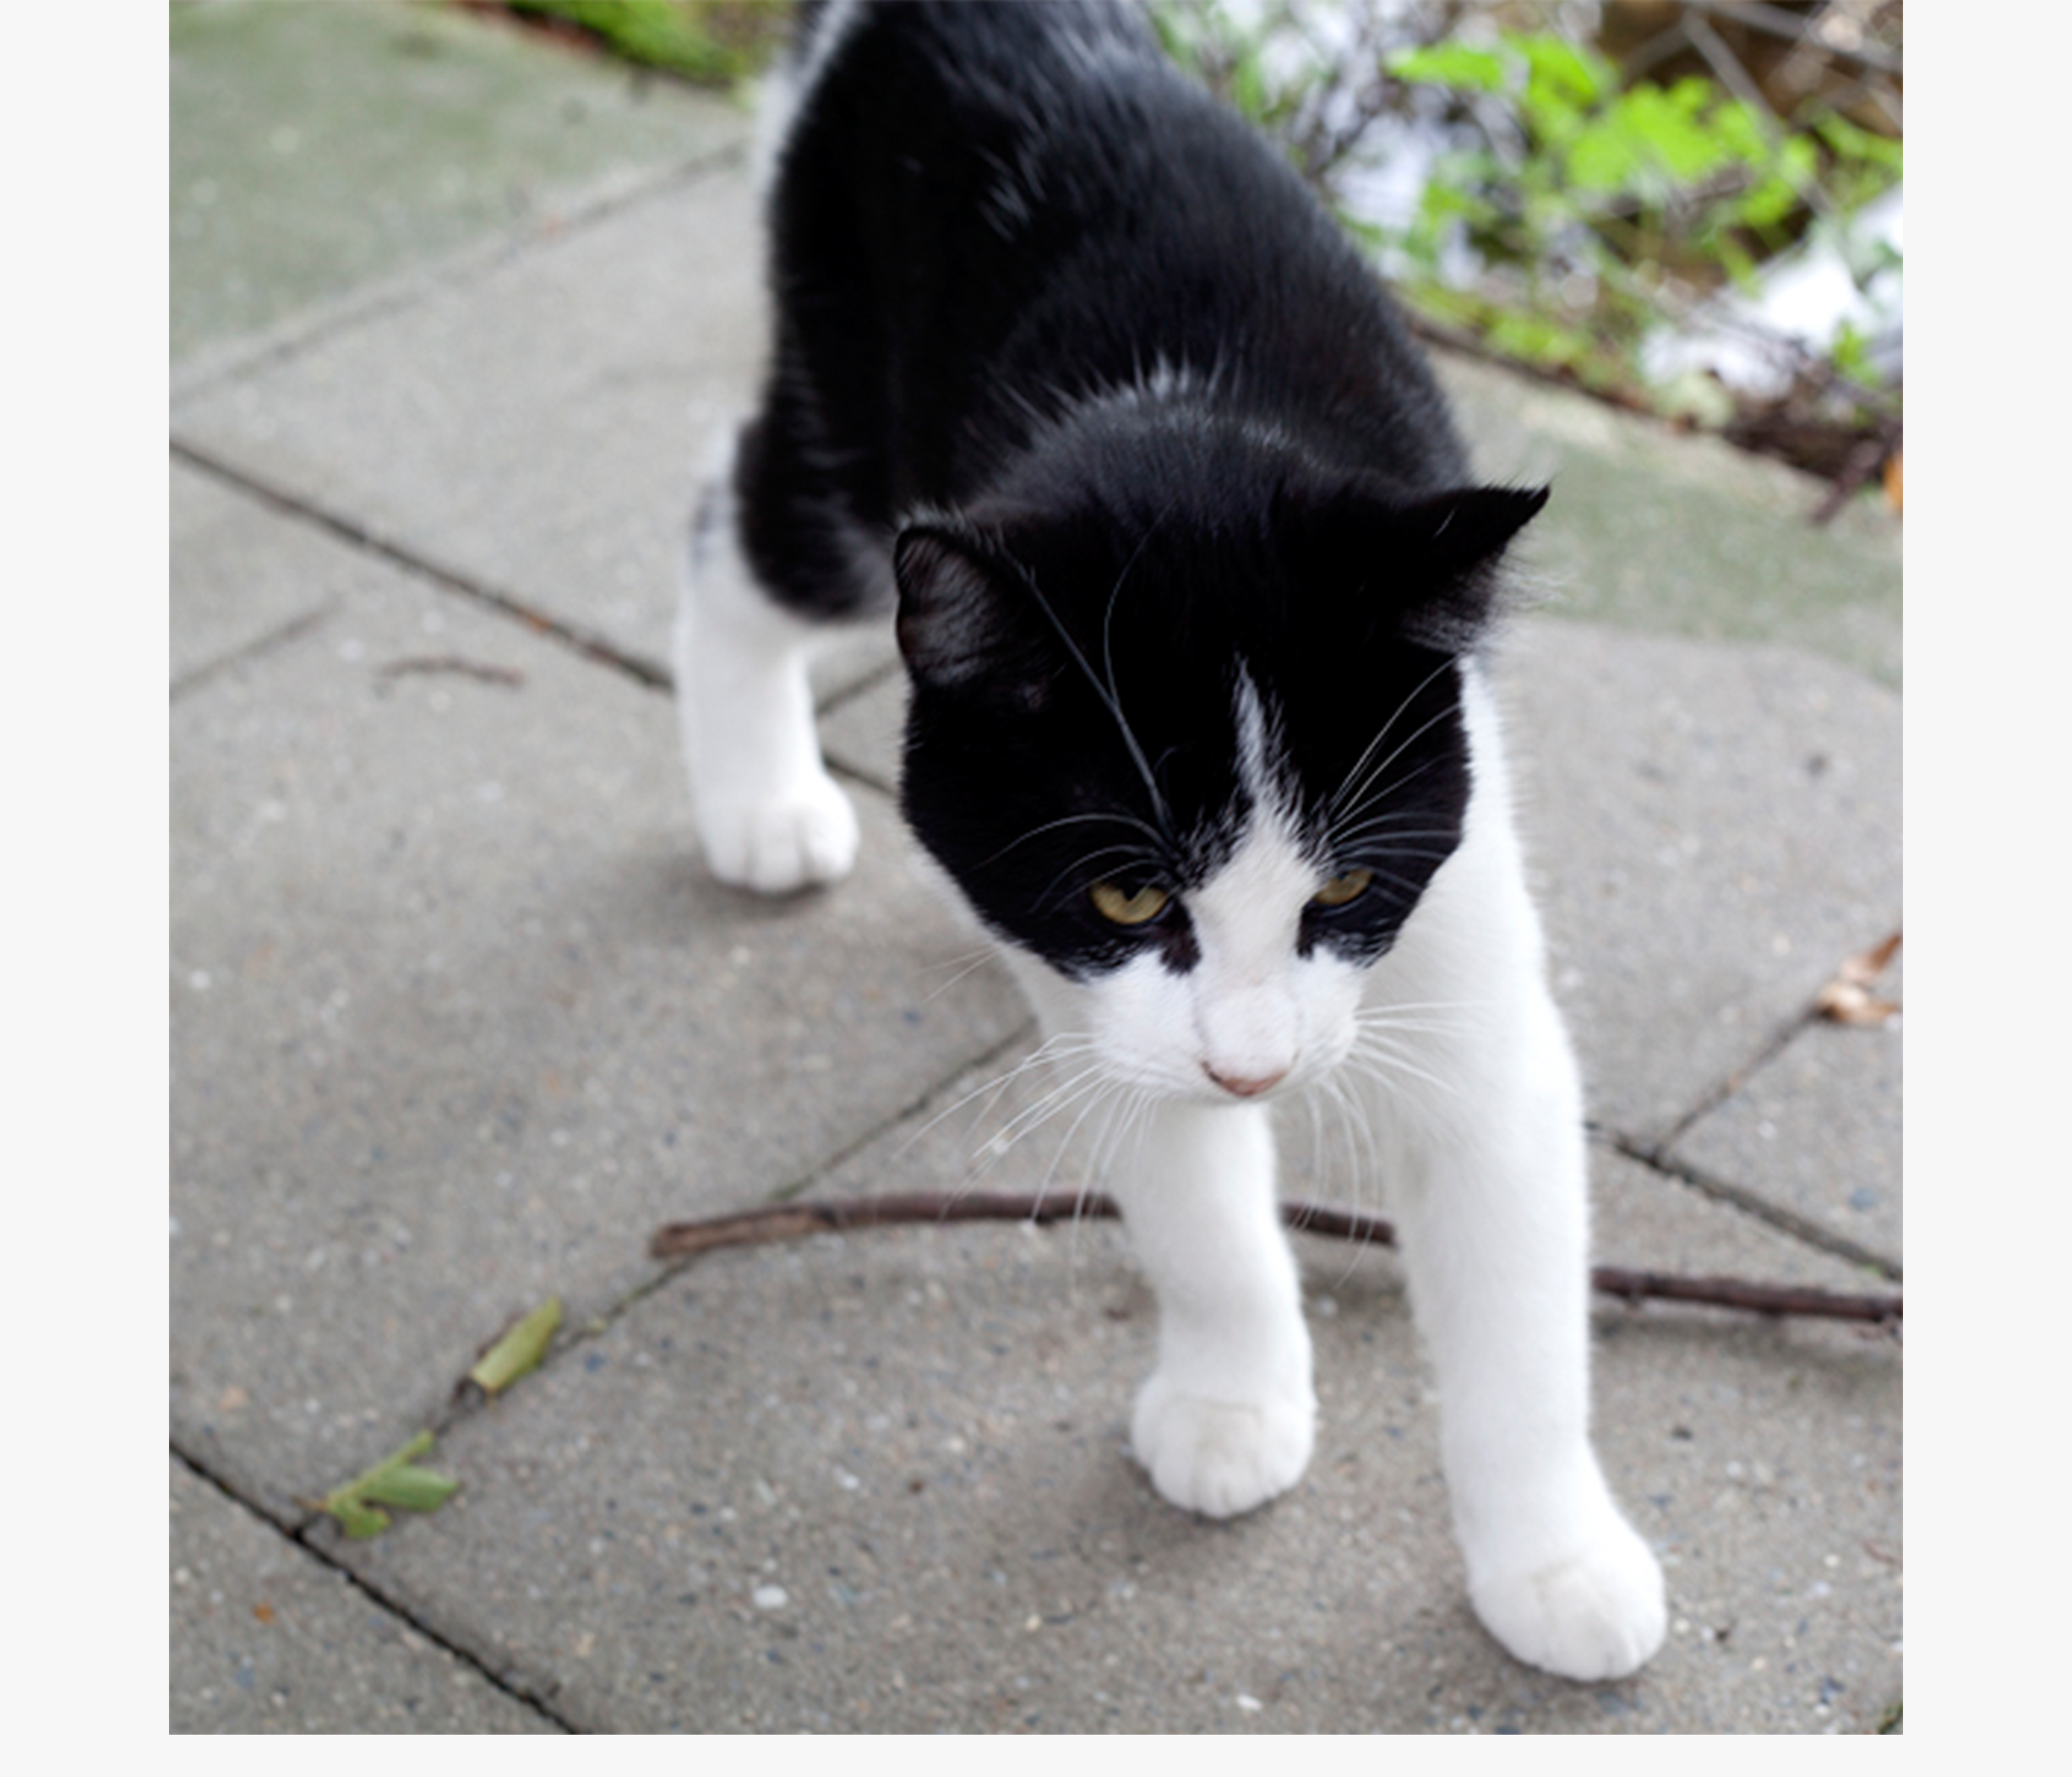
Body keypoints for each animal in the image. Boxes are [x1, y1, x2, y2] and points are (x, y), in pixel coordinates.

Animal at [675, 0, 1666, 1673]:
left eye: (1350, 880)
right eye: (1130, 893)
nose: (1259, 1067)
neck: (1189, 439)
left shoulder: (1466, 939)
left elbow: (1515, 1270)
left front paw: (1555, 1560)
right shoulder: (1099, 1000)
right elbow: (1192, 1199)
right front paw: (1230, 1401)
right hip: (844, 398)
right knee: (733, 526)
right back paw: (756, 799)